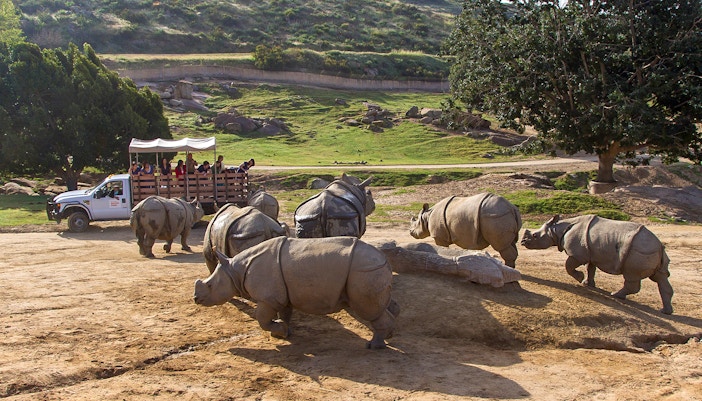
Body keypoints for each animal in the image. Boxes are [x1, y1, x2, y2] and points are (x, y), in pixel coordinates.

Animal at [194, 236, 399, 349]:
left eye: (210, 286)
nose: (196, 298)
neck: (235, 270)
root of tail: (385, 259)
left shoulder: (268, 298)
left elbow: (261, 319)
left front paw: (279, 331)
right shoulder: (281, 295)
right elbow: (285, 313)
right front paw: (284, 333)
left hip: (364, 271)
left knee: (368, 309)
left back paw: (373, 346)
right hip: (369, 270)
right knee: (381, 306)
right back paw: (387, 336)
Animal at [521, 214, 674, 314]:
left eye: (534, 236)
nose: (522, 242)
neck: (556, 230)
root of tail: (660, 246)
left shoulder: (577, 254)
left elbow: (568, 266)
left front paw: (579, 278)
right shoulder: (591, 253)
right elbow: (591, 268)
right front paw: (587, 284)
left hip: (639, 251)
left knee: (631, 276)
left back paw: (616, 295)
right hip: (651, 251)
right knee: (661, 277)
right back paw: (665, 311)